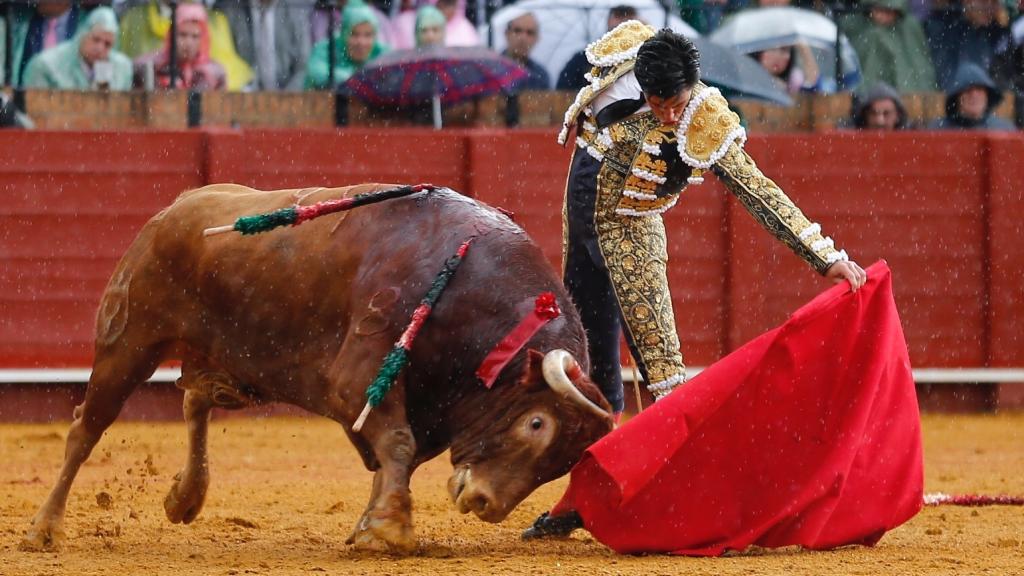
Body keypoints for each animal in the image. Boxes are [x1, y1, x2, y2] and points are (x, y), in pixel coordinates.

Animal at [22, 182, 614, 553]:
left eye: (563, 463)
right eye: (536, 424)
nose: (486, 504)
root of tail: (176, 207)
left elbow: (397, 456)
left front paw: (371, 526)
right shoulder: (358, 377)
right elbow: (396, 442)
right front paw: (389, 533)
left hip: (238, 366)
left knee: (195, 399)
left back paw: (184, 498)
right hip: (130, 341)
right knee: (86, 428)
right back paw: (44, 529)